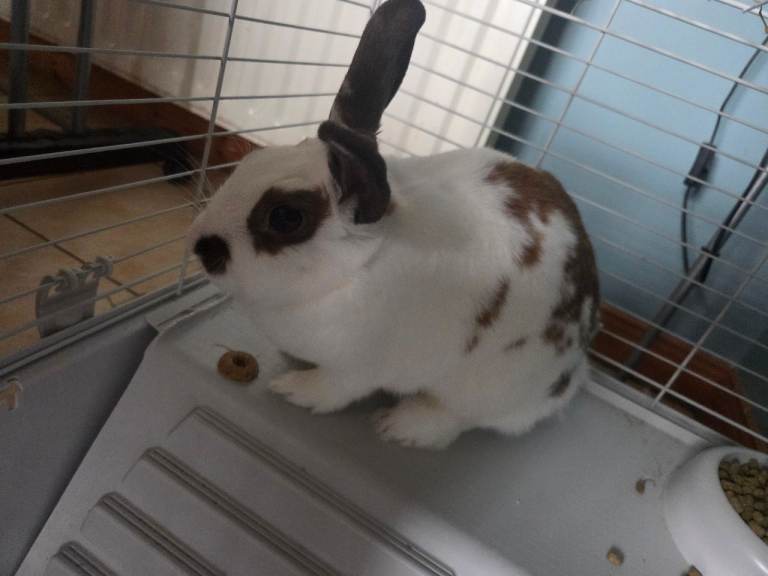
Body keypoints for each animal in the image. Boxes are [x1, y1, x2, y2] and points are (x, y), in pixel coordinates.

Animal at [187, 0, 599, 449]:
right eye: (250, 160)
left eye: (285, 217)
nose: (200, 246)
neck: (355, 271)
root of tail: (572, 372)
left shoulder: (359, 367)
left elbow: (333, 390)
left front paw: (292, 388)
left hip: (485, 387)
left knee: (457, 418)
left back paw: (398, 426)